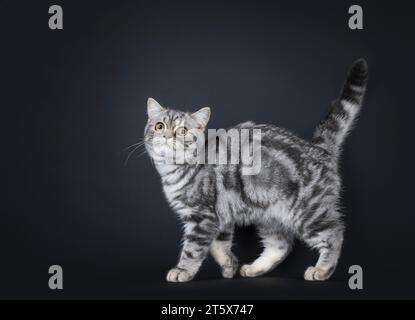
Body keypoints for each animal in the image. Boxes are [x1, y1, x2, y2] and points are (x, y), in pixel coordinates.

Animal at [145, 58, 368, 282]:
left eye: (183, 131)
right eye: (159, 126)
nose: (167, 136)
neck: (173, 170)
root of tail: (318, 149)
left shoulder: (202, 217)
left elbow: (193, 249)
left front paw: (183, 270)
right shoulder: (220, 216)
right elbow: (219, 244)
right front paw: (229, 264)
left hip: (308, 212)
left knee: (334, 234)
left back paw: (322, 269)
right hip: (269, 216)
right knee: (281, 245)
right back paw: (254, 268)